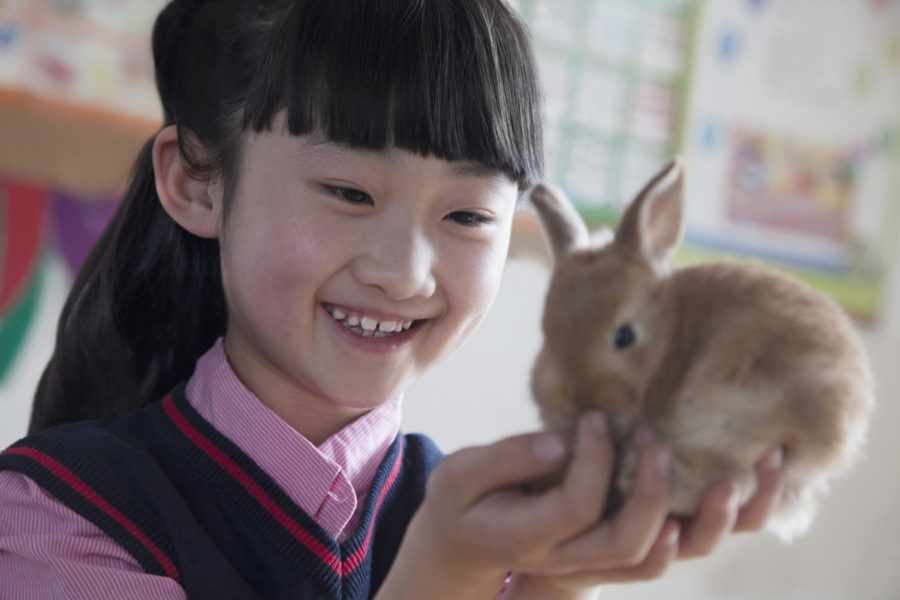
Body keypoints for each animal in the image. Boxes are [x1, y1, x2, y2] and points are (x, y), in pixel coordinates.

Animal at [528, 157, 872, 540]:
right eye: (545, 330)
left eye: (624, 336)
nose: (574, 401)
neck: (669, 337)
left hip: (742, 410)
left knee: (739, 479)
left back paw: (635, 472)